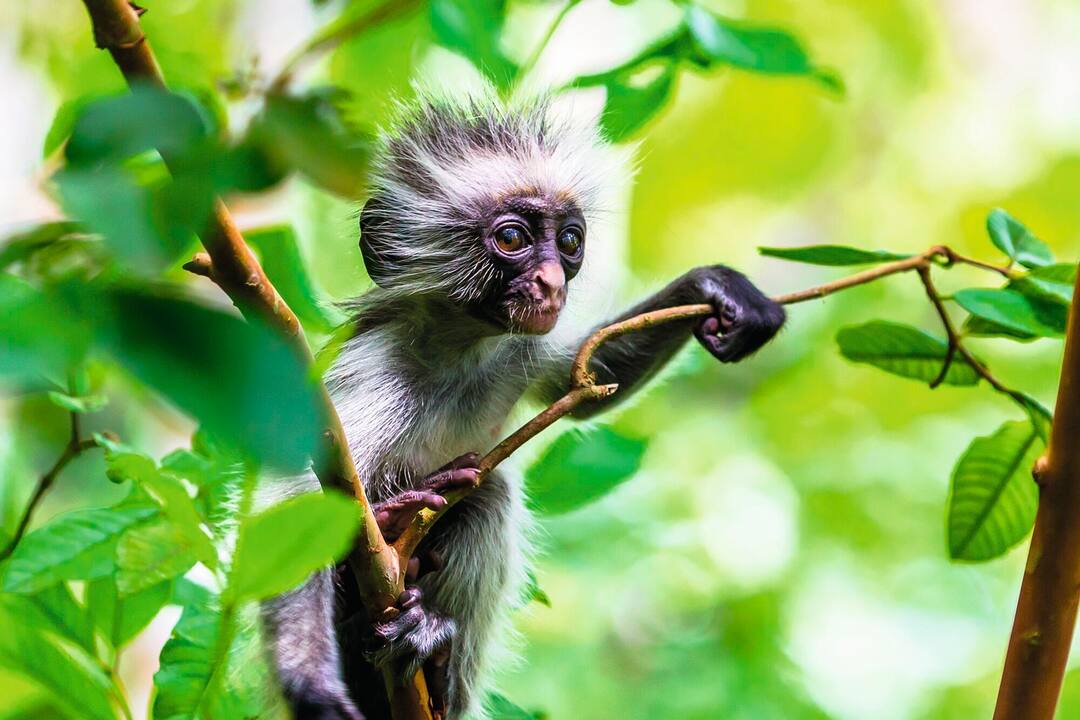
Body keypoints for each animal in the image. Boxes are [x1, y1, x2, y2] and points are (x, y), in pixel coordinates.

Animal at [258, 93, 786, 720]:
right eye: (512, 239)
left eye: (570, 242)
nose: (553, 281)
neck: (457, 352)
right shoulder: (375, 369)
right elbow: (296, 498)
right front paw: (308, 682)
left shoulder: (517, 347)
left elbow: (579, 380)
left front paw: (715, 288)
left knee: (487, 495)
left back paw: (431, 655)